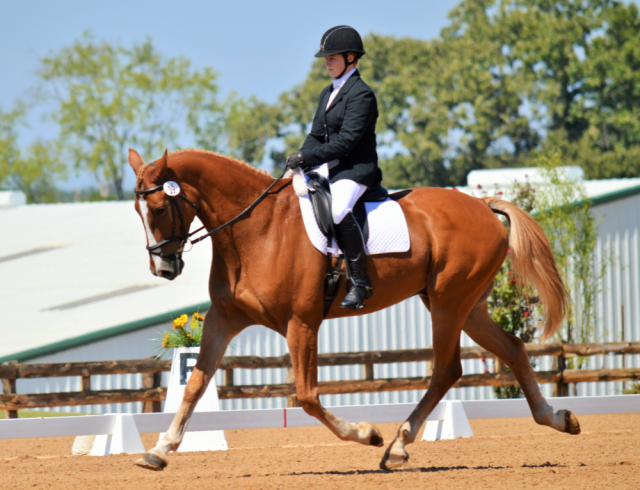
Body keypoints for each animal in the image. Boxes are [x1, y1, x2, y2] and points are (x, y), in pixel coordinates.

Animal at [129, 148, 580, 470]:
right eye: (137, 211)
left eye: (159, 208)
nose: (163, 268)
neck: (256, 230)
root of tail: (483, 206)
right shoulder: (224, 318)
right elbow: (195, 382)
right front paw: (160, 450)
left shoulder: (301, 323)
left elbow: (308, 397)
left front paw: (367, 434)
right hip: (467, 306)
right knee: (511, 349)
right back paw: (557, 419)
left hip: (449, 302)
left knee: (447, 369)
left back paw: (396, 445)